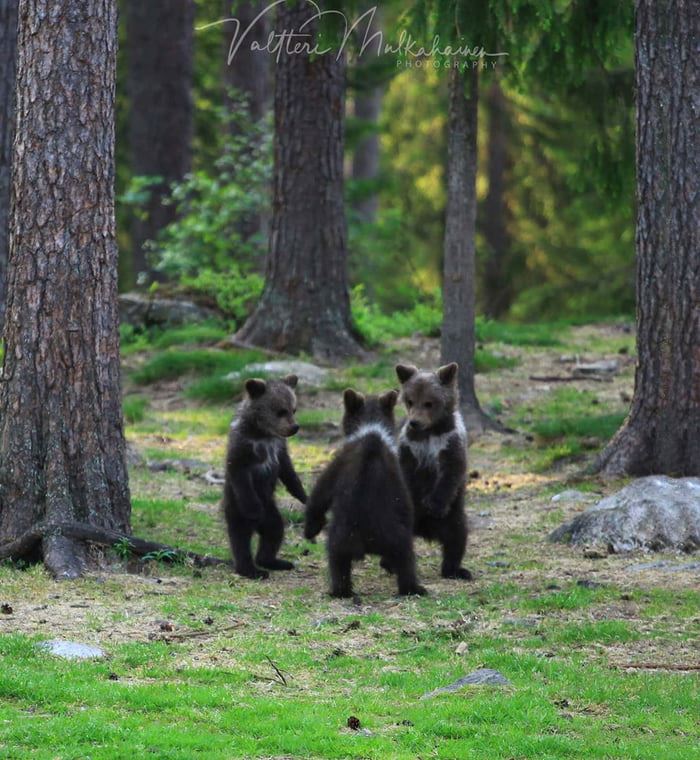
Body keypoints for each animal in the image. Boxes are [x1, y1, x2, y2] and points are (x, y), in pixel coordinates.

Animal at [223, 375, 307, 579]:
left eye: (293, 409)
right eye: (280, 411)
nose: (295, 427)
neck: (262, 434)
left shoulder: (279, 448)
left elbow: (289, 472)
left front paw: (303, 495)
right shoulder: (242, 449)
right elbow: (241, 476)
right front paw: (254, 508)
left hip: (271, 511)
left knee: (274, 531)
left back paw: (273, 561)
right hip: (236, 508)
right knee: (240, 538)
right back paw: (251, 570)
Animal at [304, 388, 427, 598]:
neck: (371, 431)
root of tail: (366, 540)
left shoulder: (338, 465)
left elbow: (320, 493)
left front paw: (310, 528)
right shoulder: (398, 479)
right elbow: (407, 507)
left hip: (341, 536)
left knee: (337, 562)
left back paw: (340, 590)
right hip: (397, 536)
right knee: (406, 559)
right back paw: (412, 587)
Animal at [394, 362, 472, 580]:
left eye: (429, 403)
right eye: (410, 400)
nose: (415, 422)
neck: (430, 432)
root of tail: (424, 530)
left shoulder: (450, 442)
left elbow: (451, 473)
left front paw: (434, 504)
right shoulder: (410, 447)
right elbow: (405, 472)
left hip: (453, 516)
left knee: (457, 537)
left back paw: (456, 570)